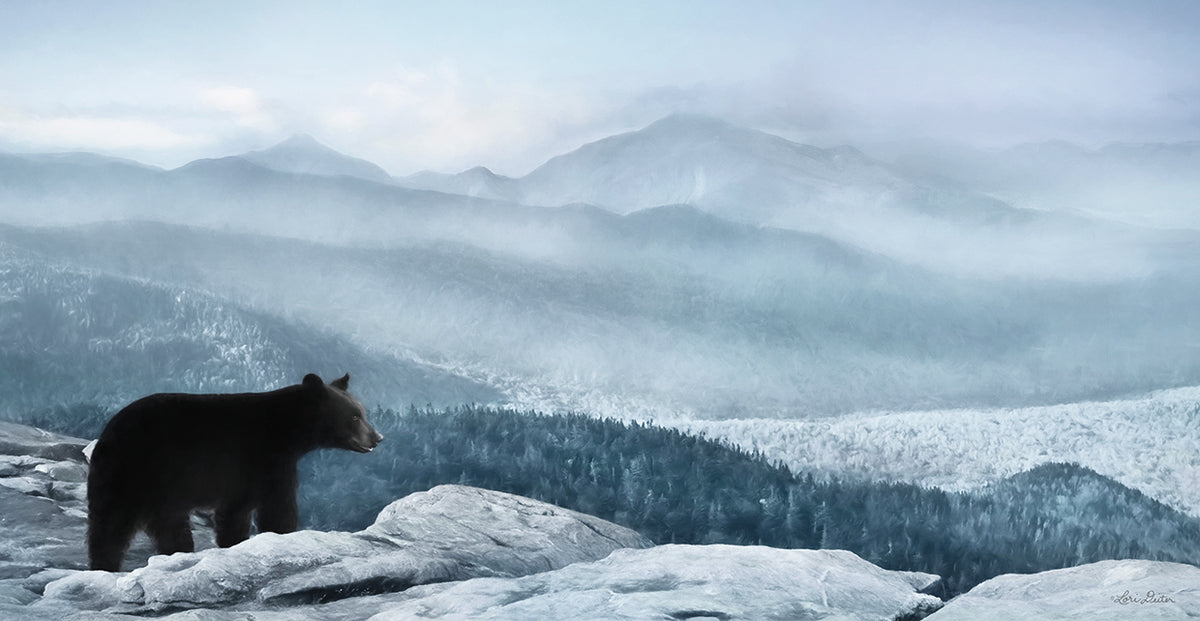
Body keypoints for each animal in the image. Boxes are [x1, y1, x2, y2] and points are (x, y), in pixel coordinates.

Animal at [86, 373, 383, 571]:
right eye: (354, 416)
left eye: (363, 412)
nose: (377, 438)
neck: (285, 430)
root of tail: (108, 429)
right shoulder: (260, 460)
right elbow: (276, 506)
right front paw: (280, 536)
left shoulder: (251, 472)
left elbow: (237, 512)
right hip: (132, 473)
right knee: (111, 523)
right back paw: (105, 565)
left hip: (160, 491)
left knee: (168, 525)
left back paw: (177, 552)